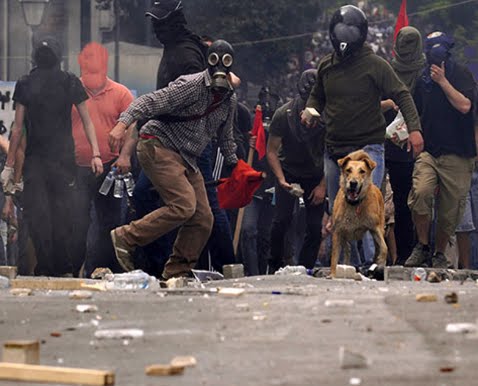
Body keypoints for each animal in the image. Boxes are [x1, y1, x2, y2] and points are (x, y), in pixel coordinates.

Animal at [330, 150, 386, 278]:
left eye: (362, 171)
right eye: (348, 170)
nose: (353, 183)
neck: (354, 204)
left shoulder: (375, 228)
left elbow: (384, 247)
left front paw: (380, 261)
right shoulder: (338, 231)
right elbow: (334, 256)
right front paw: (333, 274)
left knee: (376, 247)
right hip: (344, 234)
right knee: (347, 250)